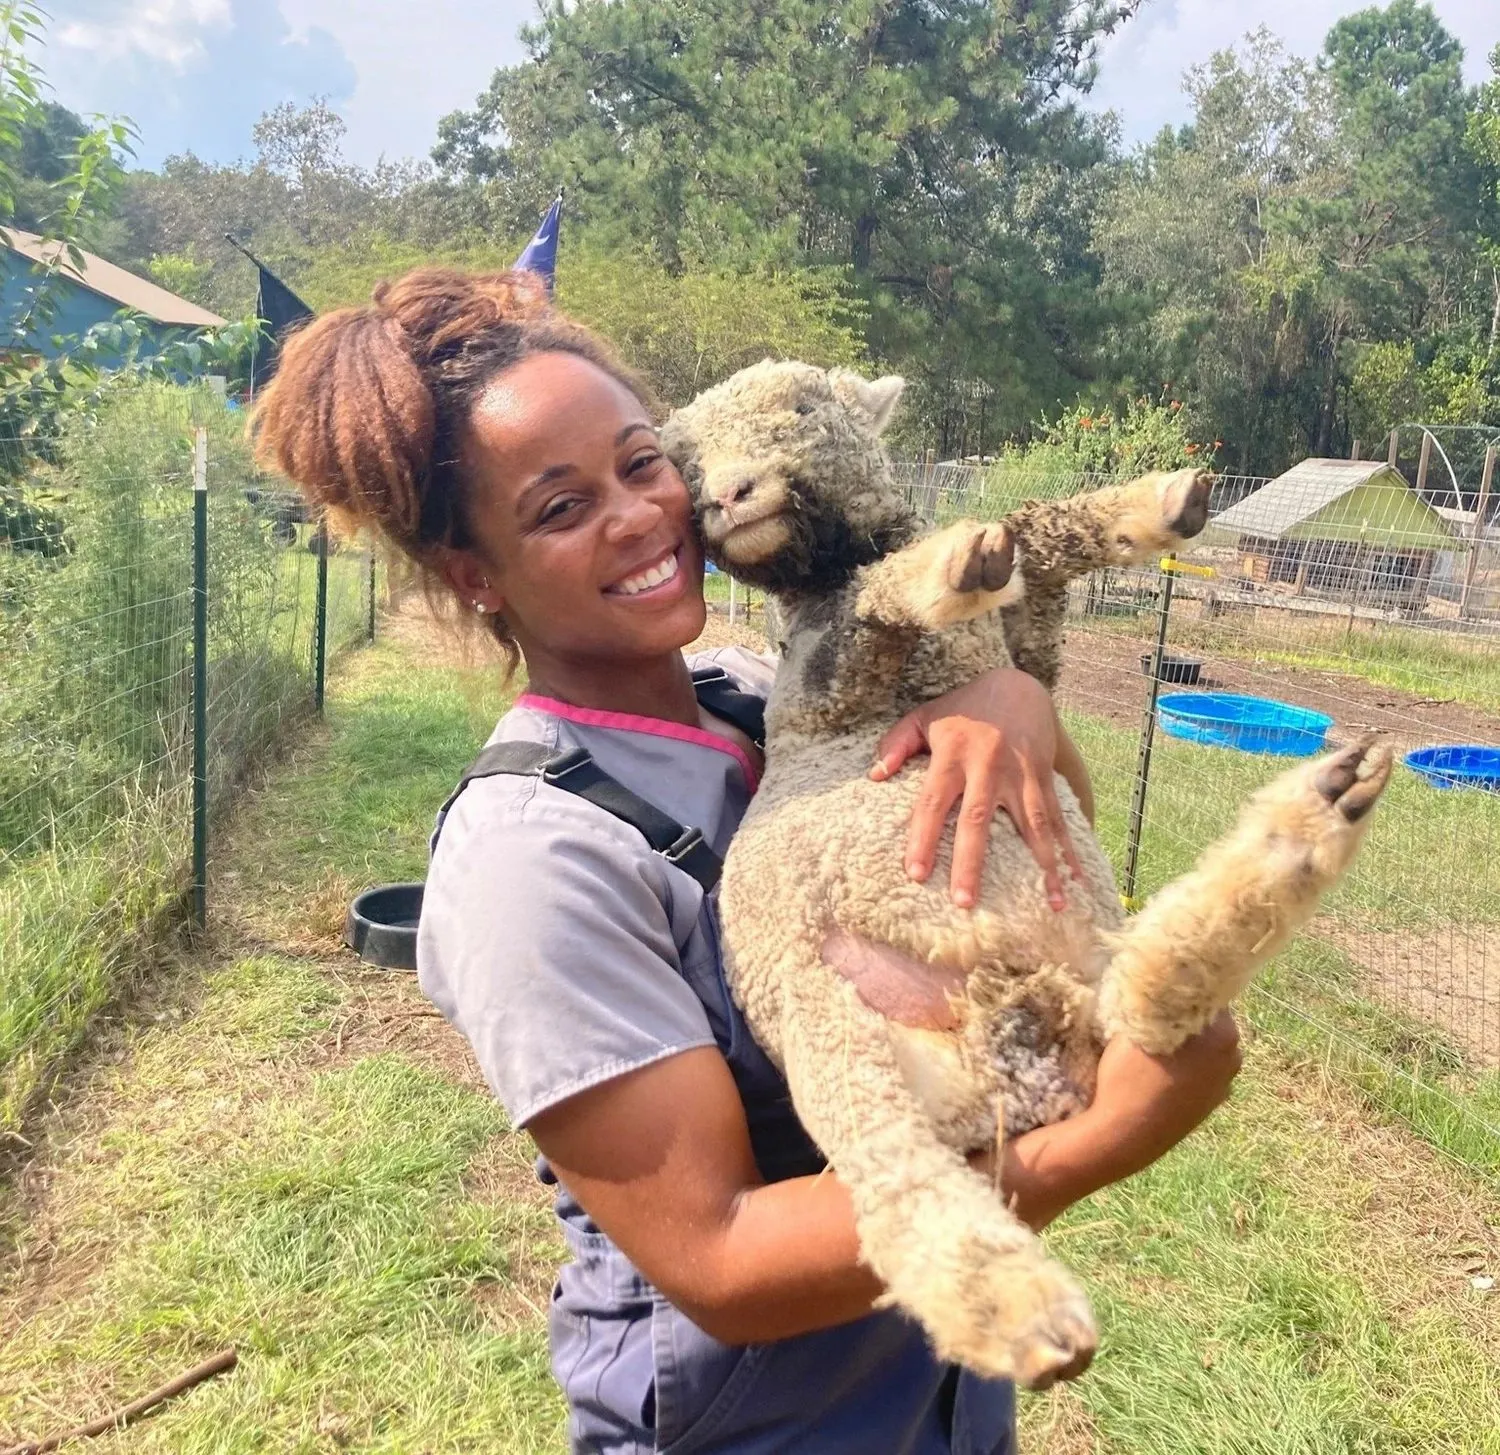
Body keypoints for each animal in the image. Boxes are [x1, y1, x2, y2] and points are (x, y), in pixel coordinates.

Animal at [660, 360, 1392, 1391]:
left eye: (800, 408)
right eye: (681, 460)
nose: (727, 496)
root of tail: (1015, 1041)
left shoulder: (1028, 665)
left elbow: (1039, 535)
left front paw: (1159, 505)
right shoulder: (824, 689)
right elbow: (881, 599)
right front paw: (954, 561)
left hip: (1051, 998)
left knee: (1140, 1008)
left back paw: (1316, 815)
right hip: (835, 1039)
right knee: (901, 1183)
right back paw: (1017, 1311)